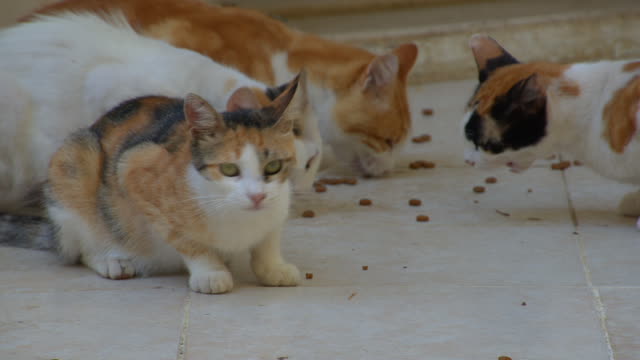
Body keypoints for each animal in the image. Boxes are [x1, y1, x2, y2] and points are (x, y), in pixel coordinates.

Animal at [46, 86, 302, 294]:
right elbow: (183, 237)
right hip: (75, 163)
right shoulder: (133, 167)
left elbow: (268, 239)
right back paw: (111, 260)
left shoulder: (279, 203)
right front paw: (210, 272)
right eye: (229, 169)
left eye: (274, 166)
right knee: (81, 245)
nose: (257, 196)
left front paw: (273, 267)